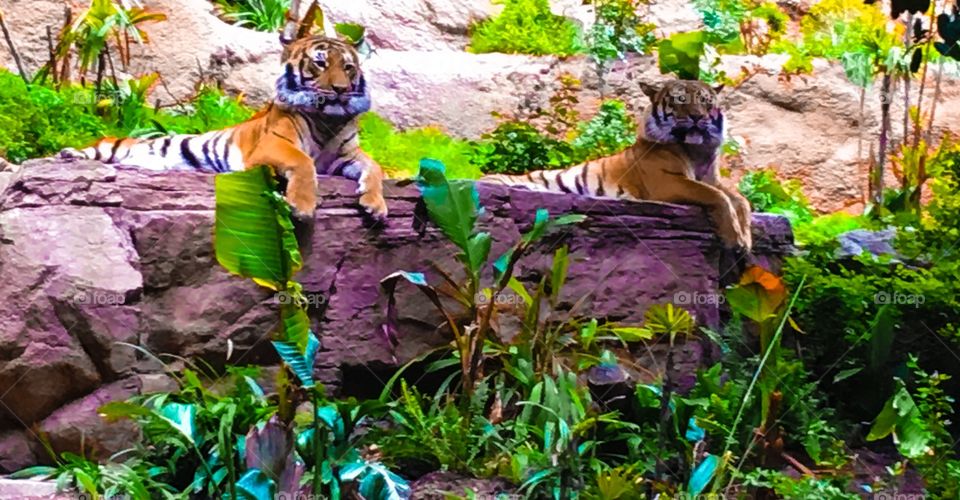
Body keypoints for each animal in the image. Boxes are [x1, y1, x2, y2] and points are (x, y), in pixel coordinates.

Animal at [60, 5, 386, 221]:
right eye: (320, 63)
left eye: (348, 67)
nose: (341, 89)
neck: (327, 118)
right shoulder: (273, 144)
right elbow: (303, 161)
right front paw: (302, 206)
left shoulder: (346, 155)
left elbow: (375, 167)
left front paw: (375, 205)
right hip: (113, 146)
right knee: (93, 150)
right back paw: (69, 155)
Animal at [481, 80, 752, 250]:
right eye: (680, 99)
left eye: (706, 101)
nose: (698, 116)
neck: (696, 150)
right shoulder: (667, 181)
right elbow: (716, 196)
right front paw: (734, 239)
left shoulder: (712, 178)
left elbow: (741, 200)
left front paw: (746, 238)